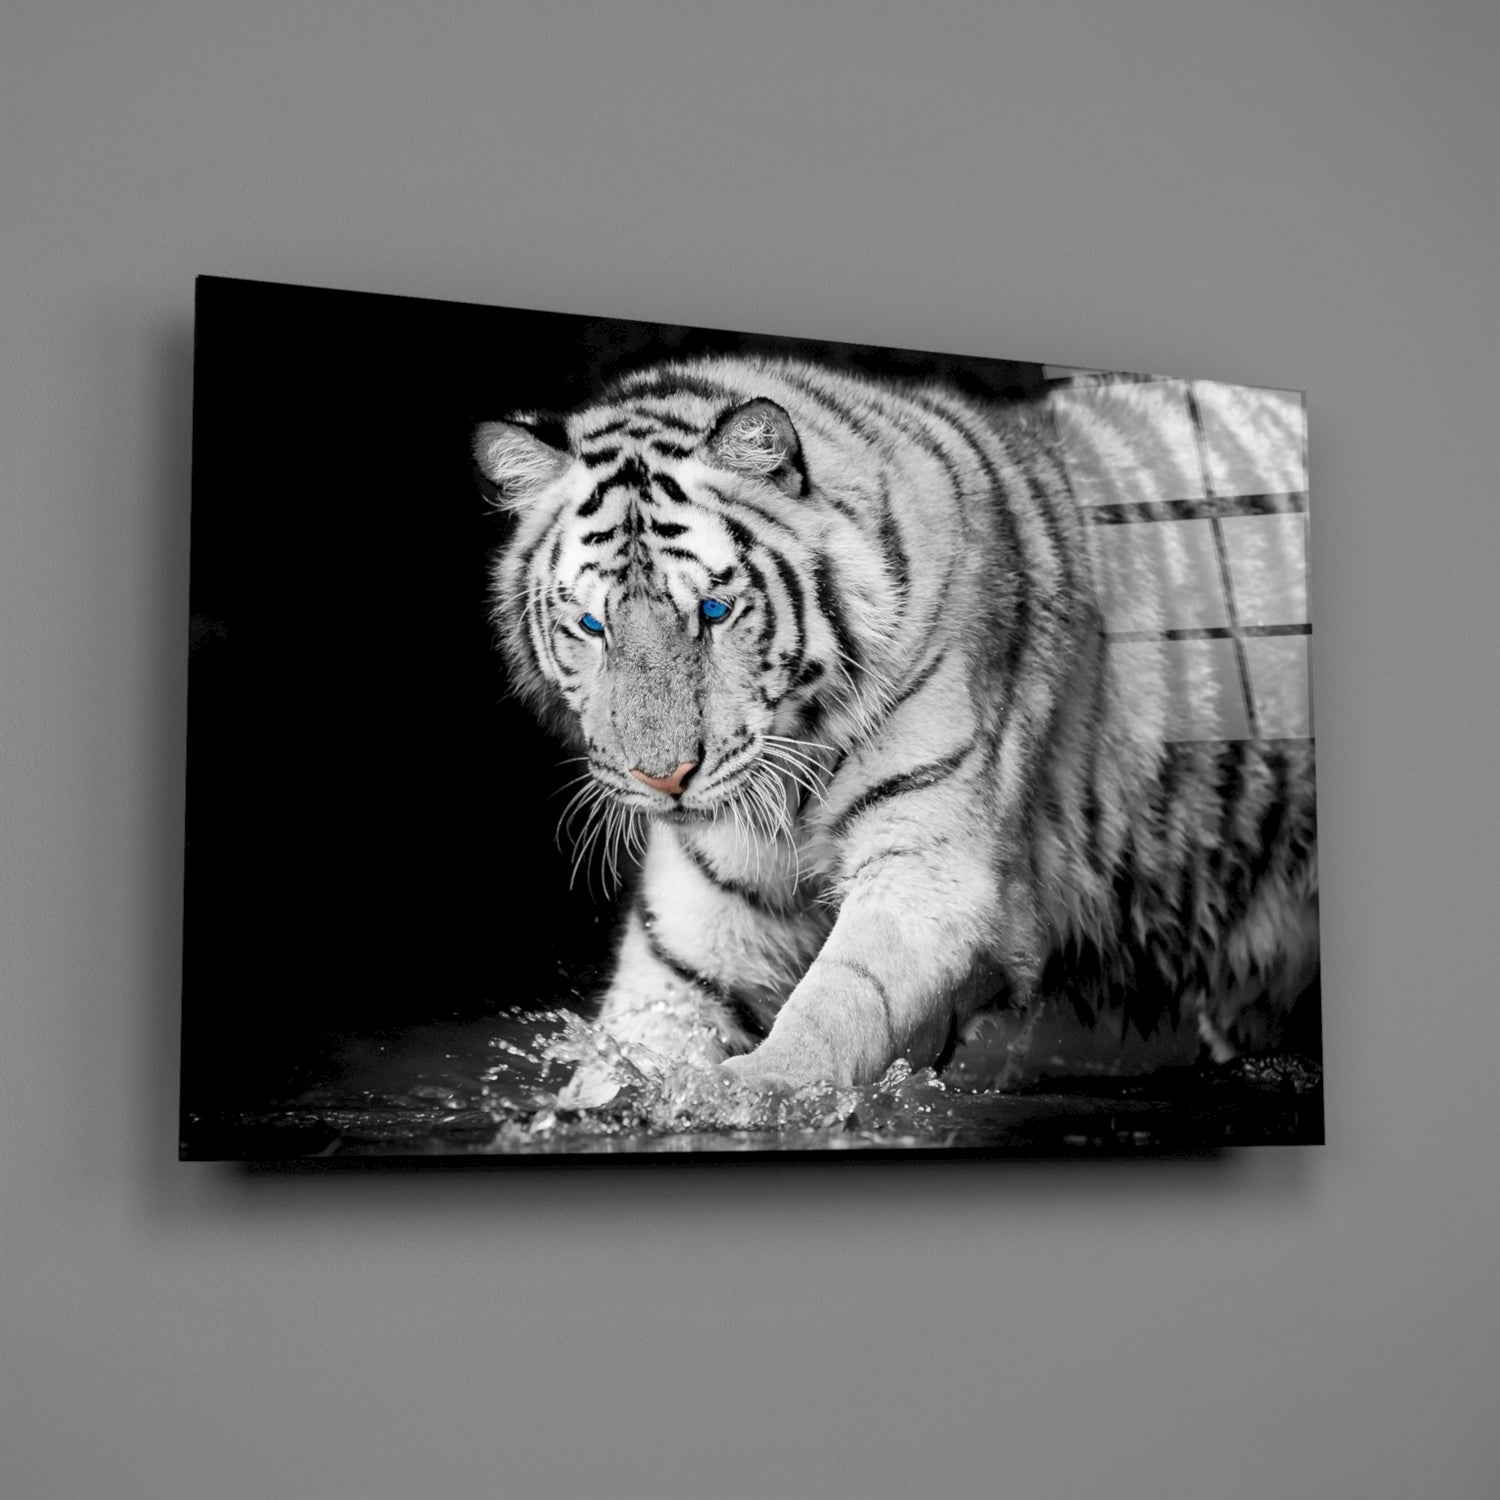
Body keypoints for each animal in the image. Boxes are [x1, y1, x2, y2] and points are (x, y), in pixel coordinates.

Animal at [474, 354, 1318, 1092]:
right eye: (592, 625)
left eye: (713, 611)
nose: (664, 778)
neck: (791, 768)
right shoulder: (698, 926)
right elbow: (635, 1040)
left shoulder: (933, 873)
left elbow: (840, 1001)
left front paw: (757, 1091)